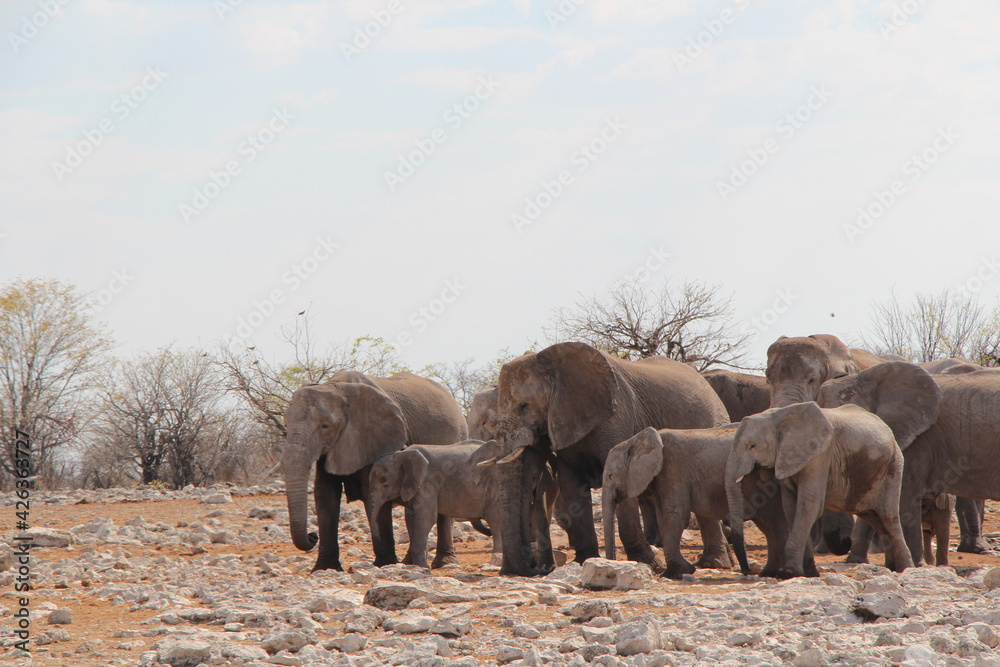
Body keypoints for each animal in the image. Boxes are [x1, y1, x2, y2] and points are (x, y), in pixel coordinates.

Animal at [281, 370, 468, 572]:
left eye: (325, 426)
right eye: (286, 423)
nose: (312, 536)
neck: (335, 386)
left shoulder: (375, 437)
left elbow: (370, 492)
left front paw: (385, 564)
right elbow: (325, 494)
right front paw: (324, 569)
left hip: (457, 437)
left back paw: (445, 563)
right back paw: (409, 562)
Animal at [367, 441, 503, 568]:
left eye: (385, 484)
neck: (402, 454)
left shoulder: (428, 482)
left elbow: (425, 519)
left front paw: (422, 566)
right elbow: (411, 519)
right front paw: (414, 565)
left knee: (495, 522)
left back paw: (495, 562)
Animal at [492, 342, 730, 576]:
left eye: (524, 405)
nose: (534, 568)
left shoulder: (618, 416)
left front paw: (647, 563)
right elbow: (571, 486)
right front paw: (585, 560)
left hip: (713, 423)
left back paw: (712, 563)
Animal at [603, 426, 815, 579]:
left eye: (610, 475)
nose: (612, 564)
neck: (635, 440)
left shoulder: (673, 470)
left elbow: (674, 515)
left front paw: (675, 573)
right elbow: (665, 517)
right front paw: (680, 571)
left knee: (775, 523)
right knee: (770, 527)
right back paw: (768, 573)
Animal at [727, 402, 916, 578]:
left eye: (752, 446)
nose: (747, 571)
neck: (778, 416)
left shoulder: (819, 457)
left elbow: (809, 505)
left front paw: (788, 573)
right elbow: (791, 507)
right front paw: (808, 573)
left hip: (893, 467)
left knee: (888, 518)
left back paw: (905, 569)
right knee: (875, 518)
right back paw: (892, 568)